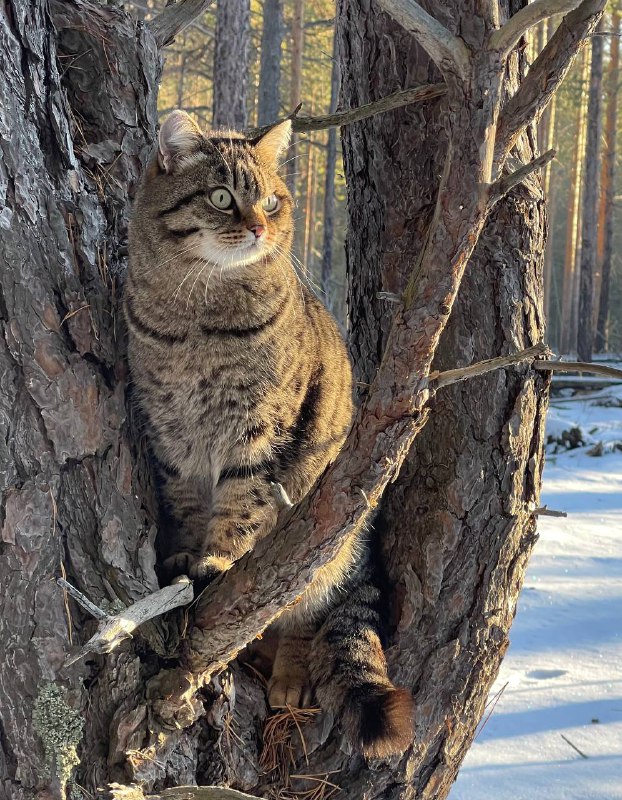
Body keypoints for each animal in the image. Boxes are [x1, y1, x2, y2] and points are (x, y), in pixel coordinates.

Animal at [125, 111, 414, 756]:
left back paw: (289, 676)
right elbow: (186, 502)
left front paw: (216, 560)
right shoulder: (172, 434)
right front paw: (186, 553)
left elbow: (240, 505)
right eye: (222, 197)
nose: (259, 226)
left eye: (273, 201)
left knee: (305, 608)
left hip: (326, 535)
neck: (198, 320)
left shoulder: (259, 433)